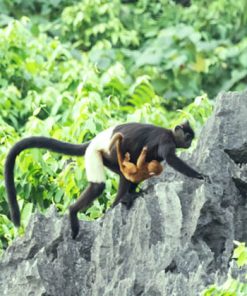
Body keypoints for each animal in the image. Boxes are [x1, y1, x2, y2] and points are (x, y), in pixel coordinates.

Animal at [4, 120, 207, 238]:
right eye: (187, 136)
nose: (190, 141)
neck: (170, 133)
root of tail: (94, 141)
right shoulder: (166, 141)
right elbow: (171, 159)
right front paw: (199, 175)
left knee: (126, 175)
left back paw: (119, 202)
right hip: (98, 153)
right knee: (99, 186)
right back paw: (74, 211)